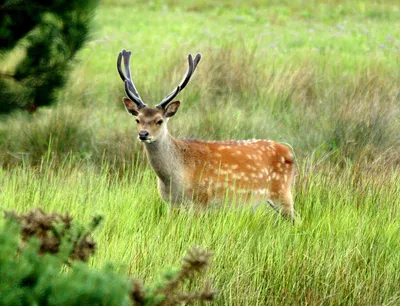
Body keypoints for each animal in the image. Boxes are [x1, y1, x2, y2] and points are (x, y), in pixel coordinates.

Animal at [116, 49, 296, 219]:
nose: (143, 134)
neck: (174, 179)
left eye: (159, 120)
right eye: (137, 119)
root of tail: (290, 152)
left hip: (282, 193)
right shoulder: (171, 204)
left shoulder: (201, 203)